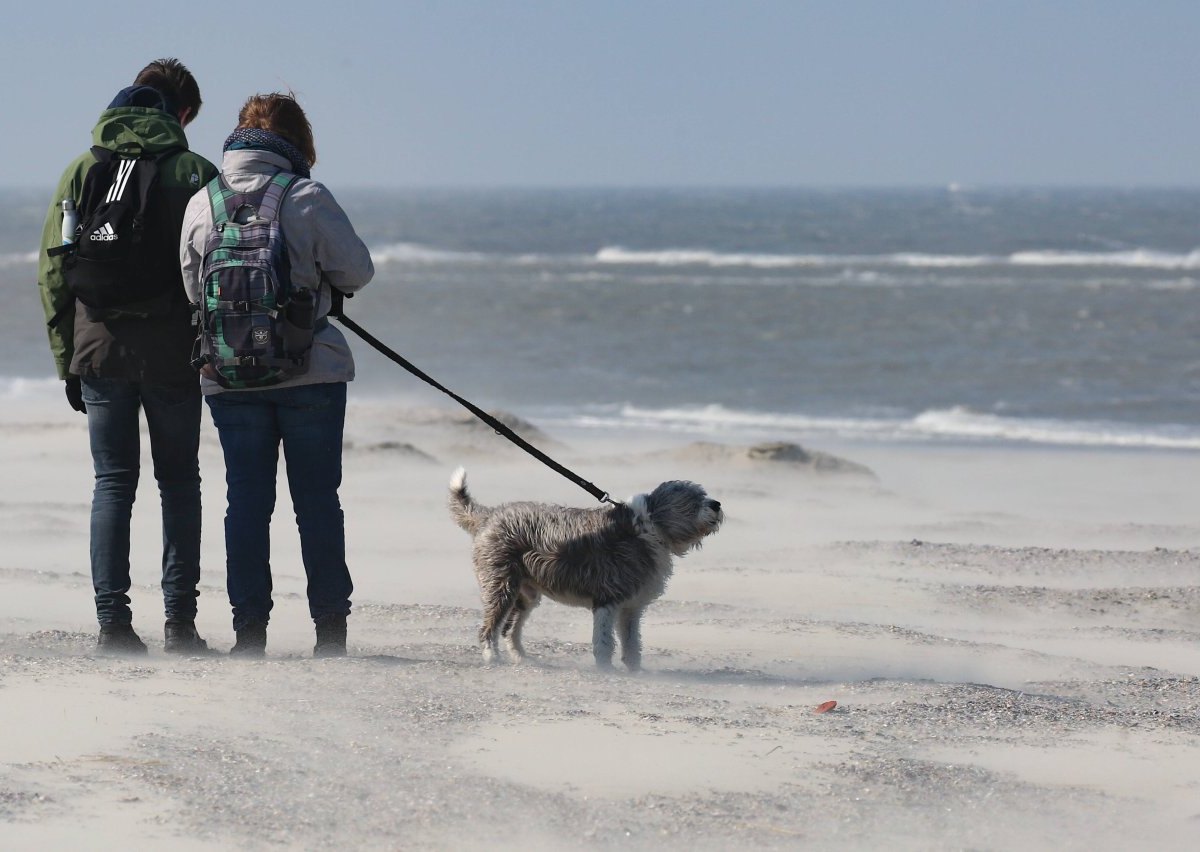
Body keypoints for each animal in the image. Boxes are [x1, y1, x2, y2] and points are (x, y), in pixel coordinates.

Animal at [446, 470, 715, 672]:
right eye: (693, 501)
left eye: (703, 495)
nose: (717, 504)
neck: (646, 528)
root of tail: (490, 515)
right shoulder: (607, 600)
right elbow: (604, 642)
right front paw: (606, 670)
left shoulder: (631, 608)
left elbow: (631, 642)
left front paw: (635, 670)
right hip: (501, 585)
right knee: (489, 628)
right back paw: (492, 657)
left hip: (526, 594)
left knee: (510, 629)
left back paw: (521, 657)